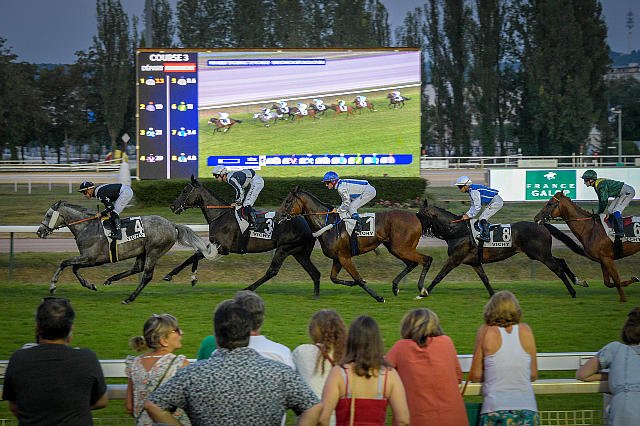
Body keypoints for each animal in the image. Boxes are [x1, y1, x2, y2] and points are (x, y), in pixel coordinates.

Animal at [36, 201, 218, 304]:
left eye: (48, 215)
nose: (39, 232)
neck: (86, 227)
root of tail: (172, 225)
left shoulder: (91, 258)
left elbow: (65, 263)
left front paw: (53, 286)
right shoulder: (88, 259)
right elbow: (73, 268)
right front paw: (90, 285)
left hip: (154, 250)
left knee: (146, 275)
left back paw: (129, 298)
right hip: (142, 251)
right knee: (137, 268)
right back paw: (111, 279)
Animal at [167, 176, 322, 296]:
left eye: (185, 191)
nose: (173, 206)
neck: (220, 215)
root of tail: (309, 226)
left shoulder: (223, 248)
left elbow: (195, 256)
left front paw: (175, 275)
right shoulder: (214, 245)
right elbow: (195, 255)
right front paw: (189, 278)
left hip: (284, 248)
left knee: (272, 271)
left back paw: (248, 288)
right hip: (299, 253)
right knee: (315, 273)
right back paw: (316, 295)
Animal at [279, 187, 433, 302]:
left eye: (288, 201)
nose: (278, 216)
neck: (327, 224)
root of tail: (416, 216)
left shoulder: (345, 257)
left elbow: (358, 278)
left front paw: (379, 297)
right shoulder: (338, 258)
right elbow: (334, 278)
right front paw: (354, 284)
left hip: (401, 248)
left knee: (426, 259)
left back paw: (422, 290)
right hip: (396, 248)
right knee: (412, 264)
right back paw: (396, 287)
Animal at [416, 199, 587, 298]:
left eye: (420, 215)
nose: (416, 227)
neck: (458, 231)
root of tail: (541, 225)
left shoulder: (454, 259)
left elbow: (439, 276)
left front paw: (424, 292)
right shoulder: (475, 263)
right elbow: (485, 279)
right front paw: (493, 296)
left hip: (540, 255)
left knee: (558, 268)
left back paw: (573, 292)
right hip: (539, 254)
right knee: (561, 261)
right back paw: (579, 281)